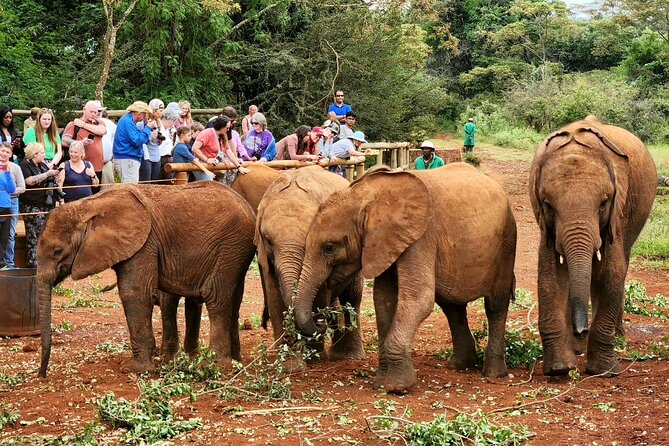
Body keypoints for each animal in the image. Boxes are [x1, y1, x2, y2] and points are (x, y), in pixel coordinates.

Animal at [38, 182, 256, 377]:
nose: (42, 375)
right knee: (231, 301)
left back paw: (214, 367)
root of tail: (248, 207)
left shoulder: (144, 244)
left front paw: (134, 370)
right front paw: (163, 362)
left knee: (215, 297)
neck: (90, 205)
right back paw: (234, 362)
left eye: (58, 252)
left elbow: (134, 293)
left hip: (230, 247)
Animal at [255, 165, 365, 371]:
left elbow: (320, 296)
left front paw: (315, 358)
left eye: (308, 238)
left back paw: (348, 356)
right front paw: (290, 366)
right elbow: (275, 297)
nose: (321, 323)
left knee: (352, 297)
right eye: (268, 240)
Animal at [294, 163, 517, 393]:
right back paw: (459, 366)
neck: (367, 195)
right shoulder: (386, 242)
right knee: (451, 307)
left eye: (329, 247)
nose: (323, 322)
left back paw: (493, 373)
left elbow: (419, 298)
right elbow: (383, 300)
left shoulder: (421, 237)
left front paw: (397, 387)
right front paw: (381, 384)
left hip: (507, 242)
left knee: (495, 305)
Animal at [529, 115, 656, 377]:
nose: (581, 331)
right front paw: (559, 368)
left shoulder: (618, 213)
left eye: (604, 203)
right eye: (548, 205)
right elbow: (549, 275)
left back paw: (617, 337)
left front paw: (604, 371)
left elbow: (611, 273)